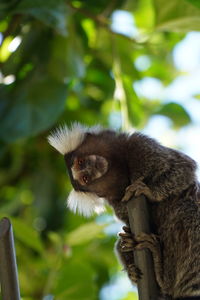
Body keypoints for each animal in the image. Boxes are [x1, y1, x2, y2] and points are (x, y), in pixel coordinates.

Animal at [48, 122, 200, 300]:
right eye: (85, 179)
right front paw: (127, 241)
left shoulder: (140, 145)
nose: (88, 171)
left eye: (80, 162)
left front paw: (149, 191)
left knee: (186, 210)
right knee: (121, 244)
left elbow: (182, 169)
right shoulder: (115, 201)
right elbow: (126, 224)